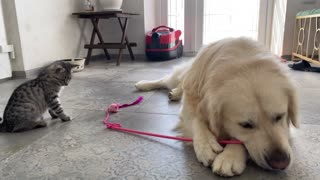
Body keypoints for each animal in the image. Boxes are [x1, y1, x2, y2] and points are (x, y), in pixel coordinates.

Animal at [134, 37, 298, 176]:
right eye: (245, 125)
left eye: (280, 116)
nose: (281, 162)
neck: (241, 63)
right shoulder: (190, 103)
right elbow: (196, 120)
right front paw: (207, 145)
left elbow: (237, 139)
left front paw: (230, 156)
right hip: (180, 77)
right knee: (164, 80)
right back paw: (144, 84)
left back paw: (174, 93)